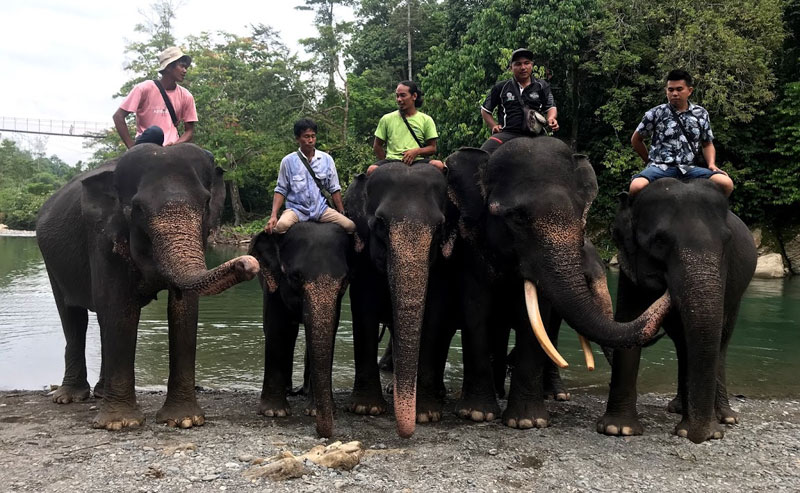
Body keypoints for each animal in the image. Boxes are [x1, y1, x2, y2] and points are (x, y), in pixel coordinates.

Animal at [36, 144, 258, 428]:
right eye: (137, 208)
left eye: (206, 202)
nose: (248, 262)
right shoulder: (102, 237)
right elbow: (120, 307)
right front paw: (119, 424)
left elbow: (183, 307)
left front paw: (185, 420)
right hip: (51, 262)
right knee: (73, 316)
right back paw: (69, 398)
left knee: (101, 319)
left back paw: (100, 393)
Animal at [250, 221, 350, 436]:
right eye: (295, 277)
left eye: (344, 281)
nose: (324, 432)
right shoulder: (274, 284)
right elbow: (277, 329)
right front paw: (274, 412)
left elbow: (331, 329)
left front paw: (313, 412)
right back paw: (289, 391)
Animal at [344, 162, 456, 438]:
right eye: (380, 224)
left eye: (439, 227)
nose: (407, 433)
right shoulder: (362, 258)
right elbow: (363, 308)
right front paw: (366, 409)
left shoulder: (442, 266)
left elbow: (433, 315)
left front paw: (427, 414)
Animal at [446, 136, 672, 428]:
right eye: (517, 218)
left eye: (581, 222)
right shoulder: (471, 247)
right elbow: (475, 310)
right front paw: (476, 414)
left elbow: (536, 316)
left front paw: (528, 423)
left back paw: (555, 395)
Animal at [600, 178, 756, 442]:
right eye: (660, 241)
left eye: (727, 241)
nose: (698, 437)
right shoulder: (629, 265)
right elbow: (629, 318)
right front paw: (618, 429)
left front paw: (708, 432)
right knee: (684, 344)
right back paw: (679, 408)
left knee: (721, 342)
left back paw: (726, 418)